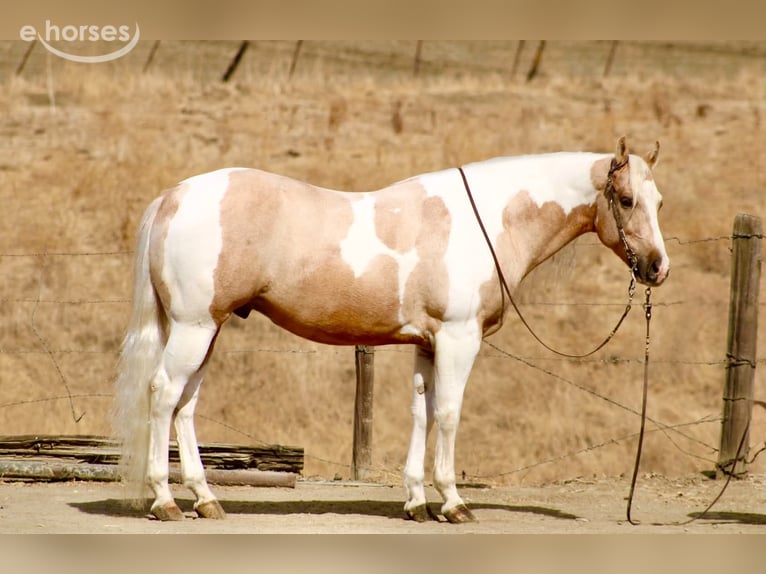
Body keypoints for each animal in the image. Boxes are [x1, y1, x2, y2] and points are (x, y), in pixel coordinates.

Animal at [113, 136, 669, 523]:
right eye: (624, 199)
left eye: (658, 201)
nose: (657, 268)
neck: (487, 222)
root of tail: (175, 195)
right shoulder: (459, 340)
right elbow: (448, 414)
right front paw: (453, 503)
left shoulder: (428, 344)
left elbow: (421, 414)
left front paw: (417, 503)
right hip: (194, 327)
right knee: (163, 395)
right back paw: (164, 501)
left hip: (207, 330)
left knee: (186, 406)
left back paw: (206, 500)